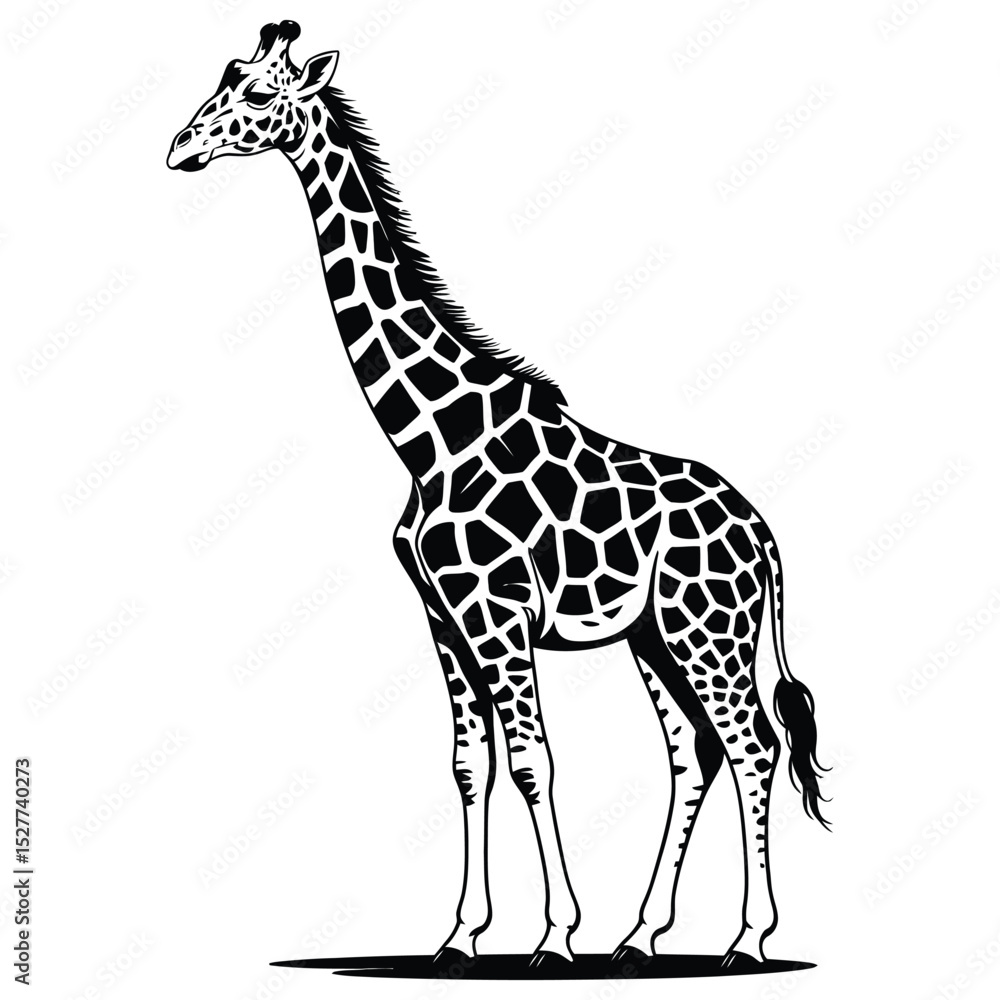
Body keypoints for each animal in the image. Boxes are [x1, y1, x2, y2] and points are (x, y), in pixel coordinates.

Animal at [168, 21, 828, 972]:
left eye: (257, 95)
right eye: (224, 76)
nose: (179, 148)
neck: (430, 440)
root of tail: (764, 533)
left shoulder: (500, 613)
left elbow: (532, 763)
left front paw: (554, 935)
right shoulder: (443, 617)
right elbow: (468, 764)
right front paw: (461, 935)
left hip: (712, 634)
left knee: (753, 747)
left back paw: (747, 937)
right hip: (655, 640)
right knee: (694, 752)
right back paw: (640, 936)